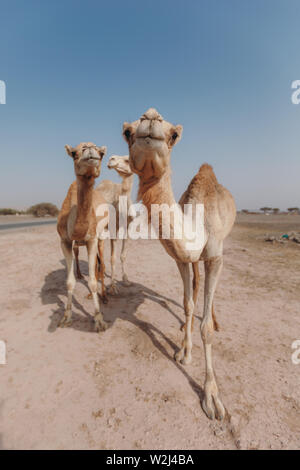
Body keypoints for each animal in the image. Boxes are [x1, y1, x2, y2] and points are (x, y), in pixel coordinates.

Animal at [56, 142, 109, 330]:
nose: (90, 149)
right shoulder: (65, 241)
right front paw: (66, 317)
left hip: (102, 236)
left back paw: (105, 297)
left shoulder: (92, 239)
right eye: (73, 153)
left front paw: (99, 319)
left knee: (102, 264)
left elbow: (92, 281)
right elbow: (69, 282)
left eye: (101, 153)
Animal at [122, 108, 237, 420]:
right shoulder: (181, 259)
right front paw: (184, 352)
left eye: (174, 135)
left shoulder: (215, 256)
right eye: (127, 132)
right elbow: (186, 303)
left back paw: (216, 319)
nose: (150, 118)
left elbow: (205, 327)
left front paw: (212, 398)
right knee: (195, 289)